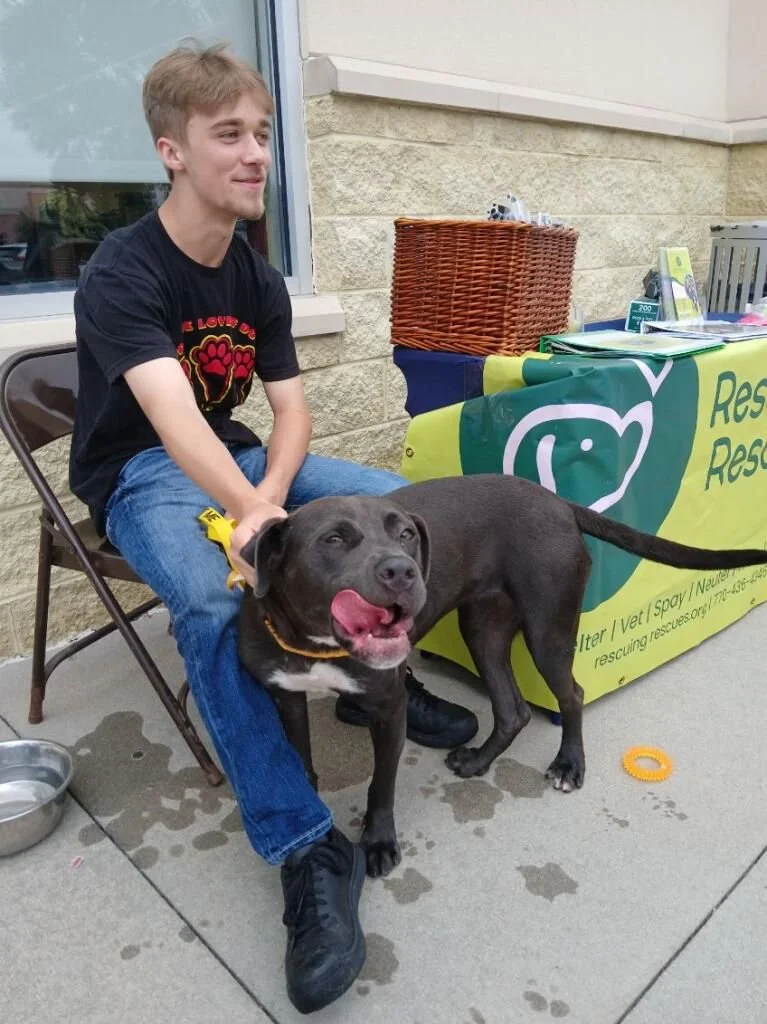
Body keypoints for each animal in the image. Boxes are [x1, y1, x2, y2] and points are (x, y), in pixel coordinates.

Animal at [238, 474, 767, 877]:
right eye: (333, 539)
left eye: (405, 534)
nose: (403, 571)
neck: (316, 643)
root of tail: (556, 501)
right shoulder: (286, 698)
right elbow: (301, 763)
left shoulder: (389, 709)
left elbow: (381, 785)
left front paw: (379, 842)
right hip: (484, 628)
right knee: (513, 710)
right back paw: (478, 762)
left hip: (547, 627)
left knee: (572, 694)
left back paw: (569, 765)